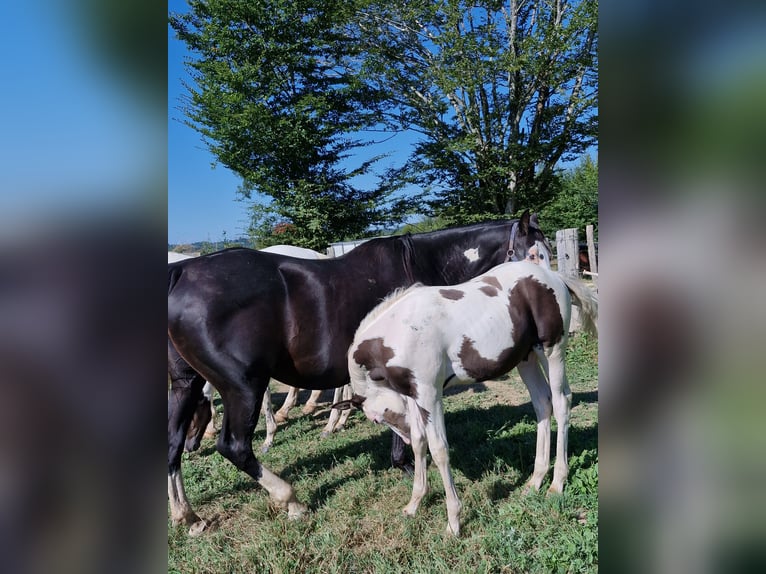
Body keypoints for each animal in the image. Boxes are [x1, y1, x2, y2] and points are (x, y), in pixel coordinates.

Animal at [170, 213, 552, 536]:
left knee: (173, 445)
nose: (551, 289)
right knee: (234, 446)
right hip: (243, 387)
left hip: (186, 385)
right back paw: (291, 500)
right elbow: (407, 436)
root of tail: (182, 274)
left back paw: (188, 516)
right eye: (532, 254)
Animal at [344, 246, 600, 536]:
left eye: (377, 420)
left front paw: (453, 522)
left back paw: (556, 484)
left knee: (561, 402)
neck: (399, 331)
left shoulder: (430, 394)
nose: (403, 438)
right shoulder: (412, 395)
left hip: (551, 350)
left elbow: (439, 450)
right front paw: (414, 504)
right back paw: (535, 481)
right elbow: (421, 444)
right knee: (542, 404)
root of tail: (554, 277)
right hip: (526, 358)